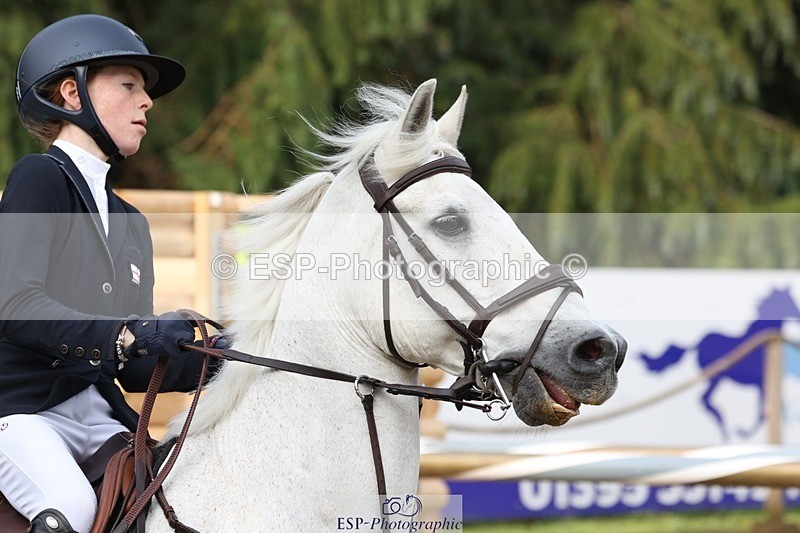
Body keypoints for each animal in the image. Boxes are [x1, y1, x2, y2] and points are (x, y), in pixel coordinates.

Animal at [640, 287, 800, 440]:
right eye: (788, 300)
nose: (798, 317)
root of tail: (698, 343)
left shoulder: (761, 384)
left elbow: (772, 410)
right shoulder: (760, 383)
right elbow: (765, 413)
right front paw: (742, 432)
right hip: (716, 377)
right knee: (704, 399)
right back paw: (724, 427)